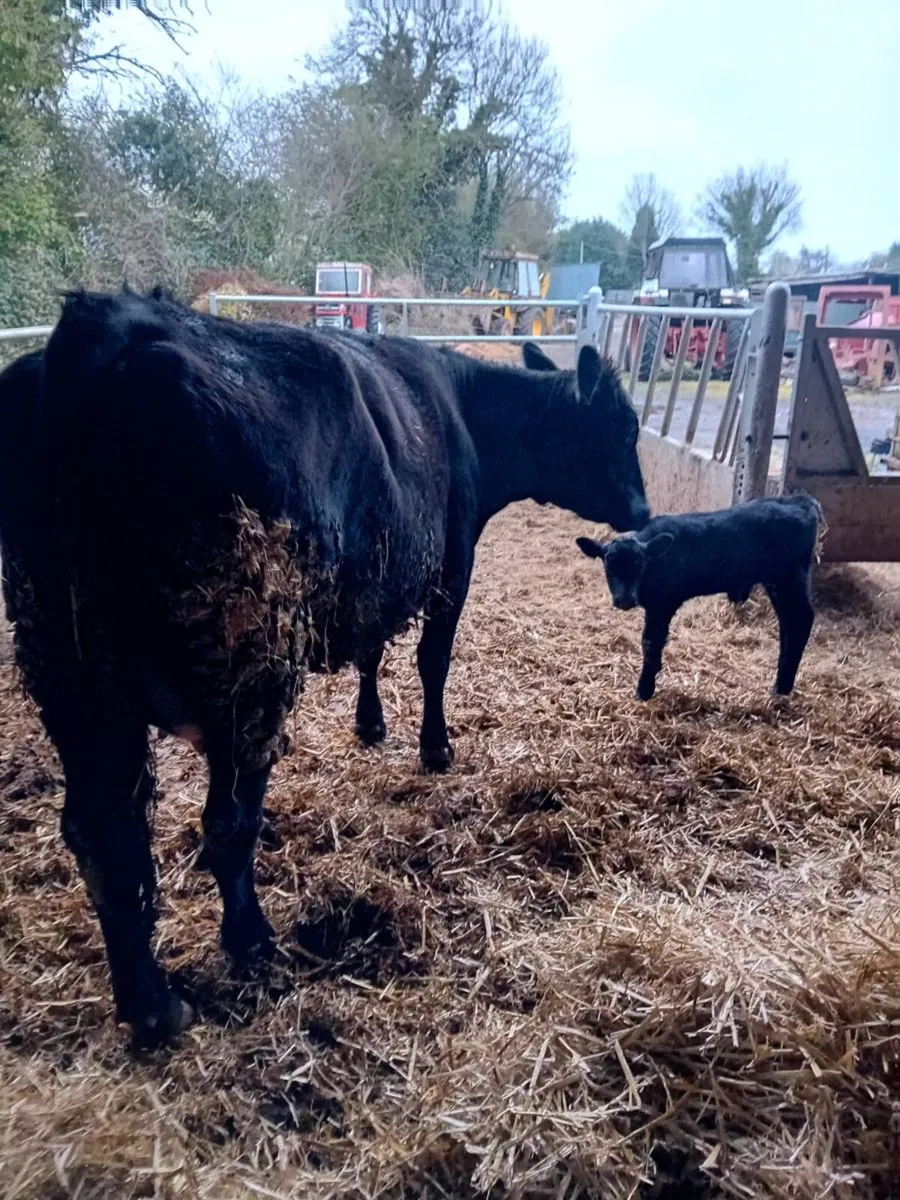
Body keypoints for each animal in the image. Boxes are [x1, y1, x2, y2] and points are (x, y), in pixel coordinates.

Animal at [0, 289, 648, 1043]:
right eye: (621, 428)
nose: (643, 510)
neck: (465, 414)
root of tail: (105, 324)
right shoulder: (452, 564)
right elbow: (433, 660)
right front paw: (436, 747)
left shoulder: (376, 573)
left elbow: (372, 651)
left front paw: (370, 724)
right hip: (250, 669)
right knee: (225, 821)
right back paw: (251, 943)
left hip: (71, 674)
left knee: (103, 834)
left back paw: (152, 1007)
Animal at [576, 494, 821, 702]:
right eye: (609, 567)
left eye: (639, 565)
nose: (625, 600)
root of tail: (799, 500)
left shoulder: (662, 604)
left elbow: (651, 642)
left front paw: (644, 689)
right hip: (778, 583)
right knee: (788, 624)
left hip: (790, 577)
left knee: (801, 620)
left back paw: (782, 687)